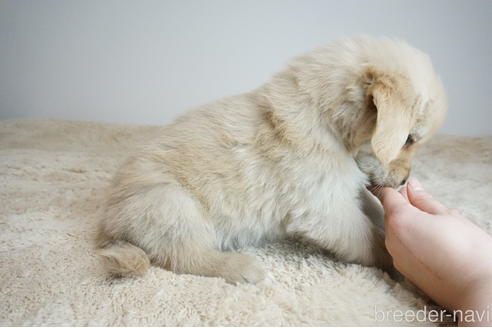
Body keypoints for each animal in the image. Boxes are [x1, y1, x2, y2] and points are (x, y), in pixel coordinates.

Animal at [96, 35, 446, 282]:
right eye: (409, 139)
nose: (405, 181)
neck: (324, 121)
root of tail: (109, 224)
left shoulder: (341, 190)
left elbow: (370, 208)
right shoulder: (324, 209)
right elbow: (371, 240)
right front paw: (398, 264)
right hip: (170, 205)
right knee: (185, 257)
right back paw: (242, 268)